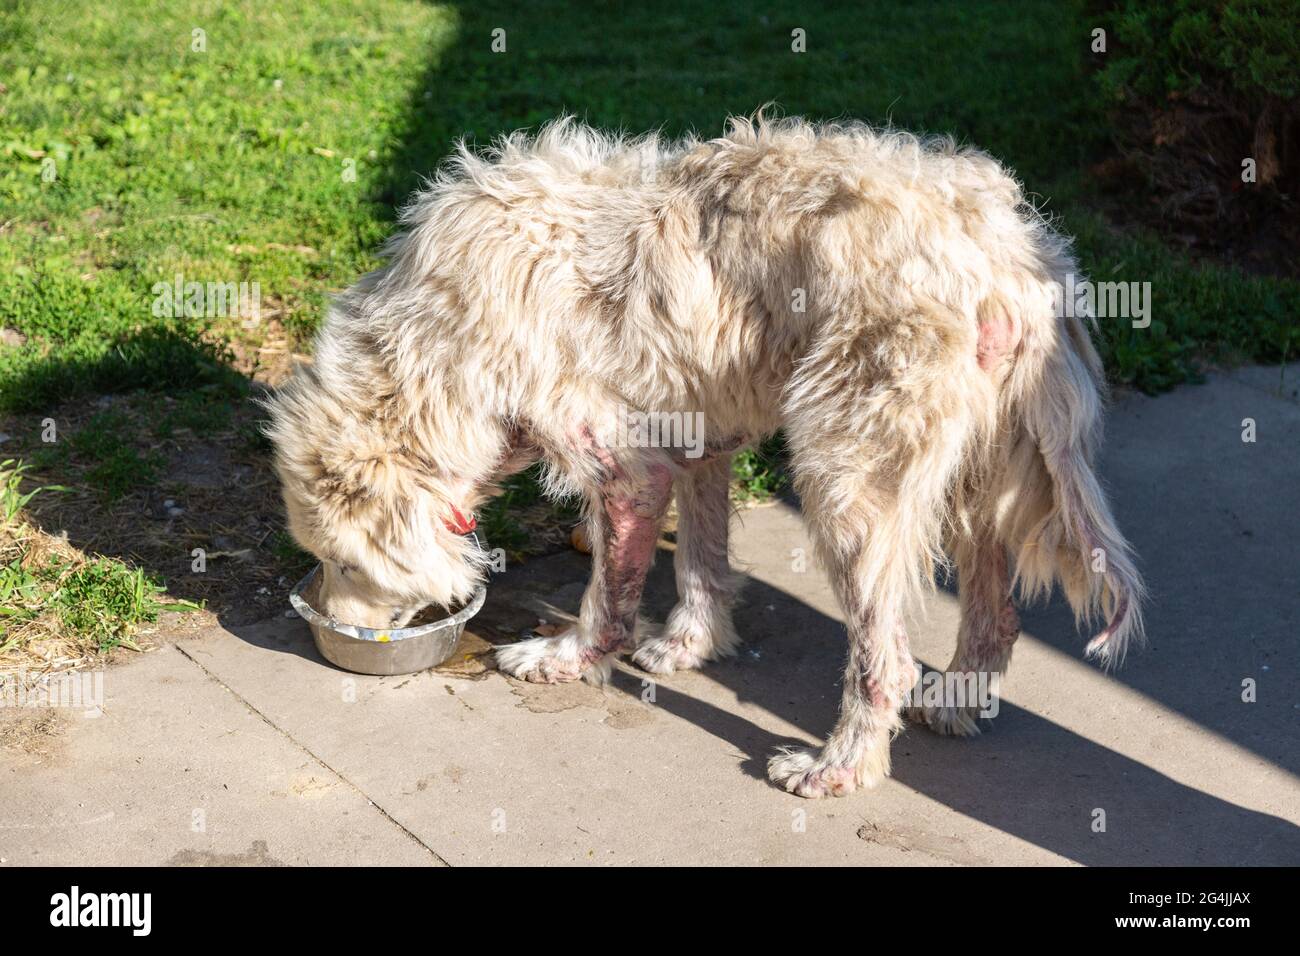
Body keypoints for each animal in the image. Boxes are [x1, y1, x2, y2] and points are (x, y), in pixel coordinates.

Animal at [269, 111, 1144, 801]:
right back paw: (957, 702)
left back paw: (837, 769)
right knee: (995, 616)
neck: (429, 355)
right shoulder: (693, 439)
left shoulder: (622, 470)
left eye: (342, 564)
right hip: (975, 477)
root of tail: (1010, 250)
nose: (330, 628)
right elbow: (701, 558)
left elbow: (607, 599)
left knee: (885, 659)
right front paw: (690, 646)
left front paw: (567, 659)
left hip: (848, 481)